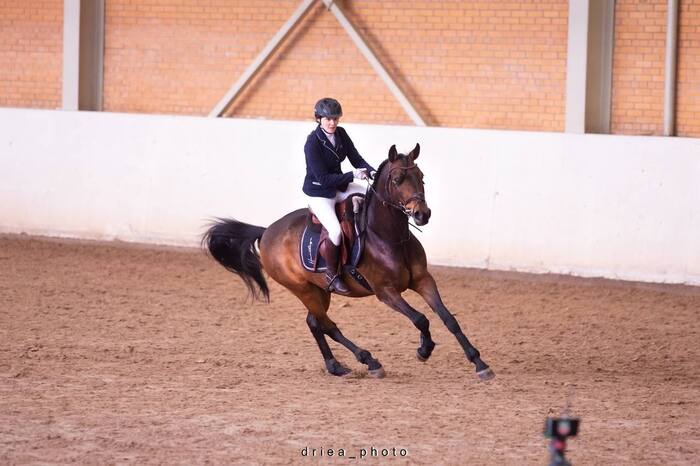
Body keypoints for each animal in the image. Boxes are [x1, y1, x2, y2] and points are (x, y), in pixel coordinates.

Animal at [204, 144, 492, 380]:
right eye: (397, 179)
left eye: (421, 177)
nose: (422, 214)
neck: (391, 237)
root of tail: (266, 232)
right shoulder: (386, 292)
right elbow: (421, 319)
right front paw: (424, 349)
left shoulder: (423, 280)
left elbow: (448, 318)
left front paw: (479, 363)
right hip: (303, 289)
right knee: (328, 325)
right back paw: (370, 362)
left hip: (320, 290)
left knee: (314, 322)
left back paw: (335, 366)